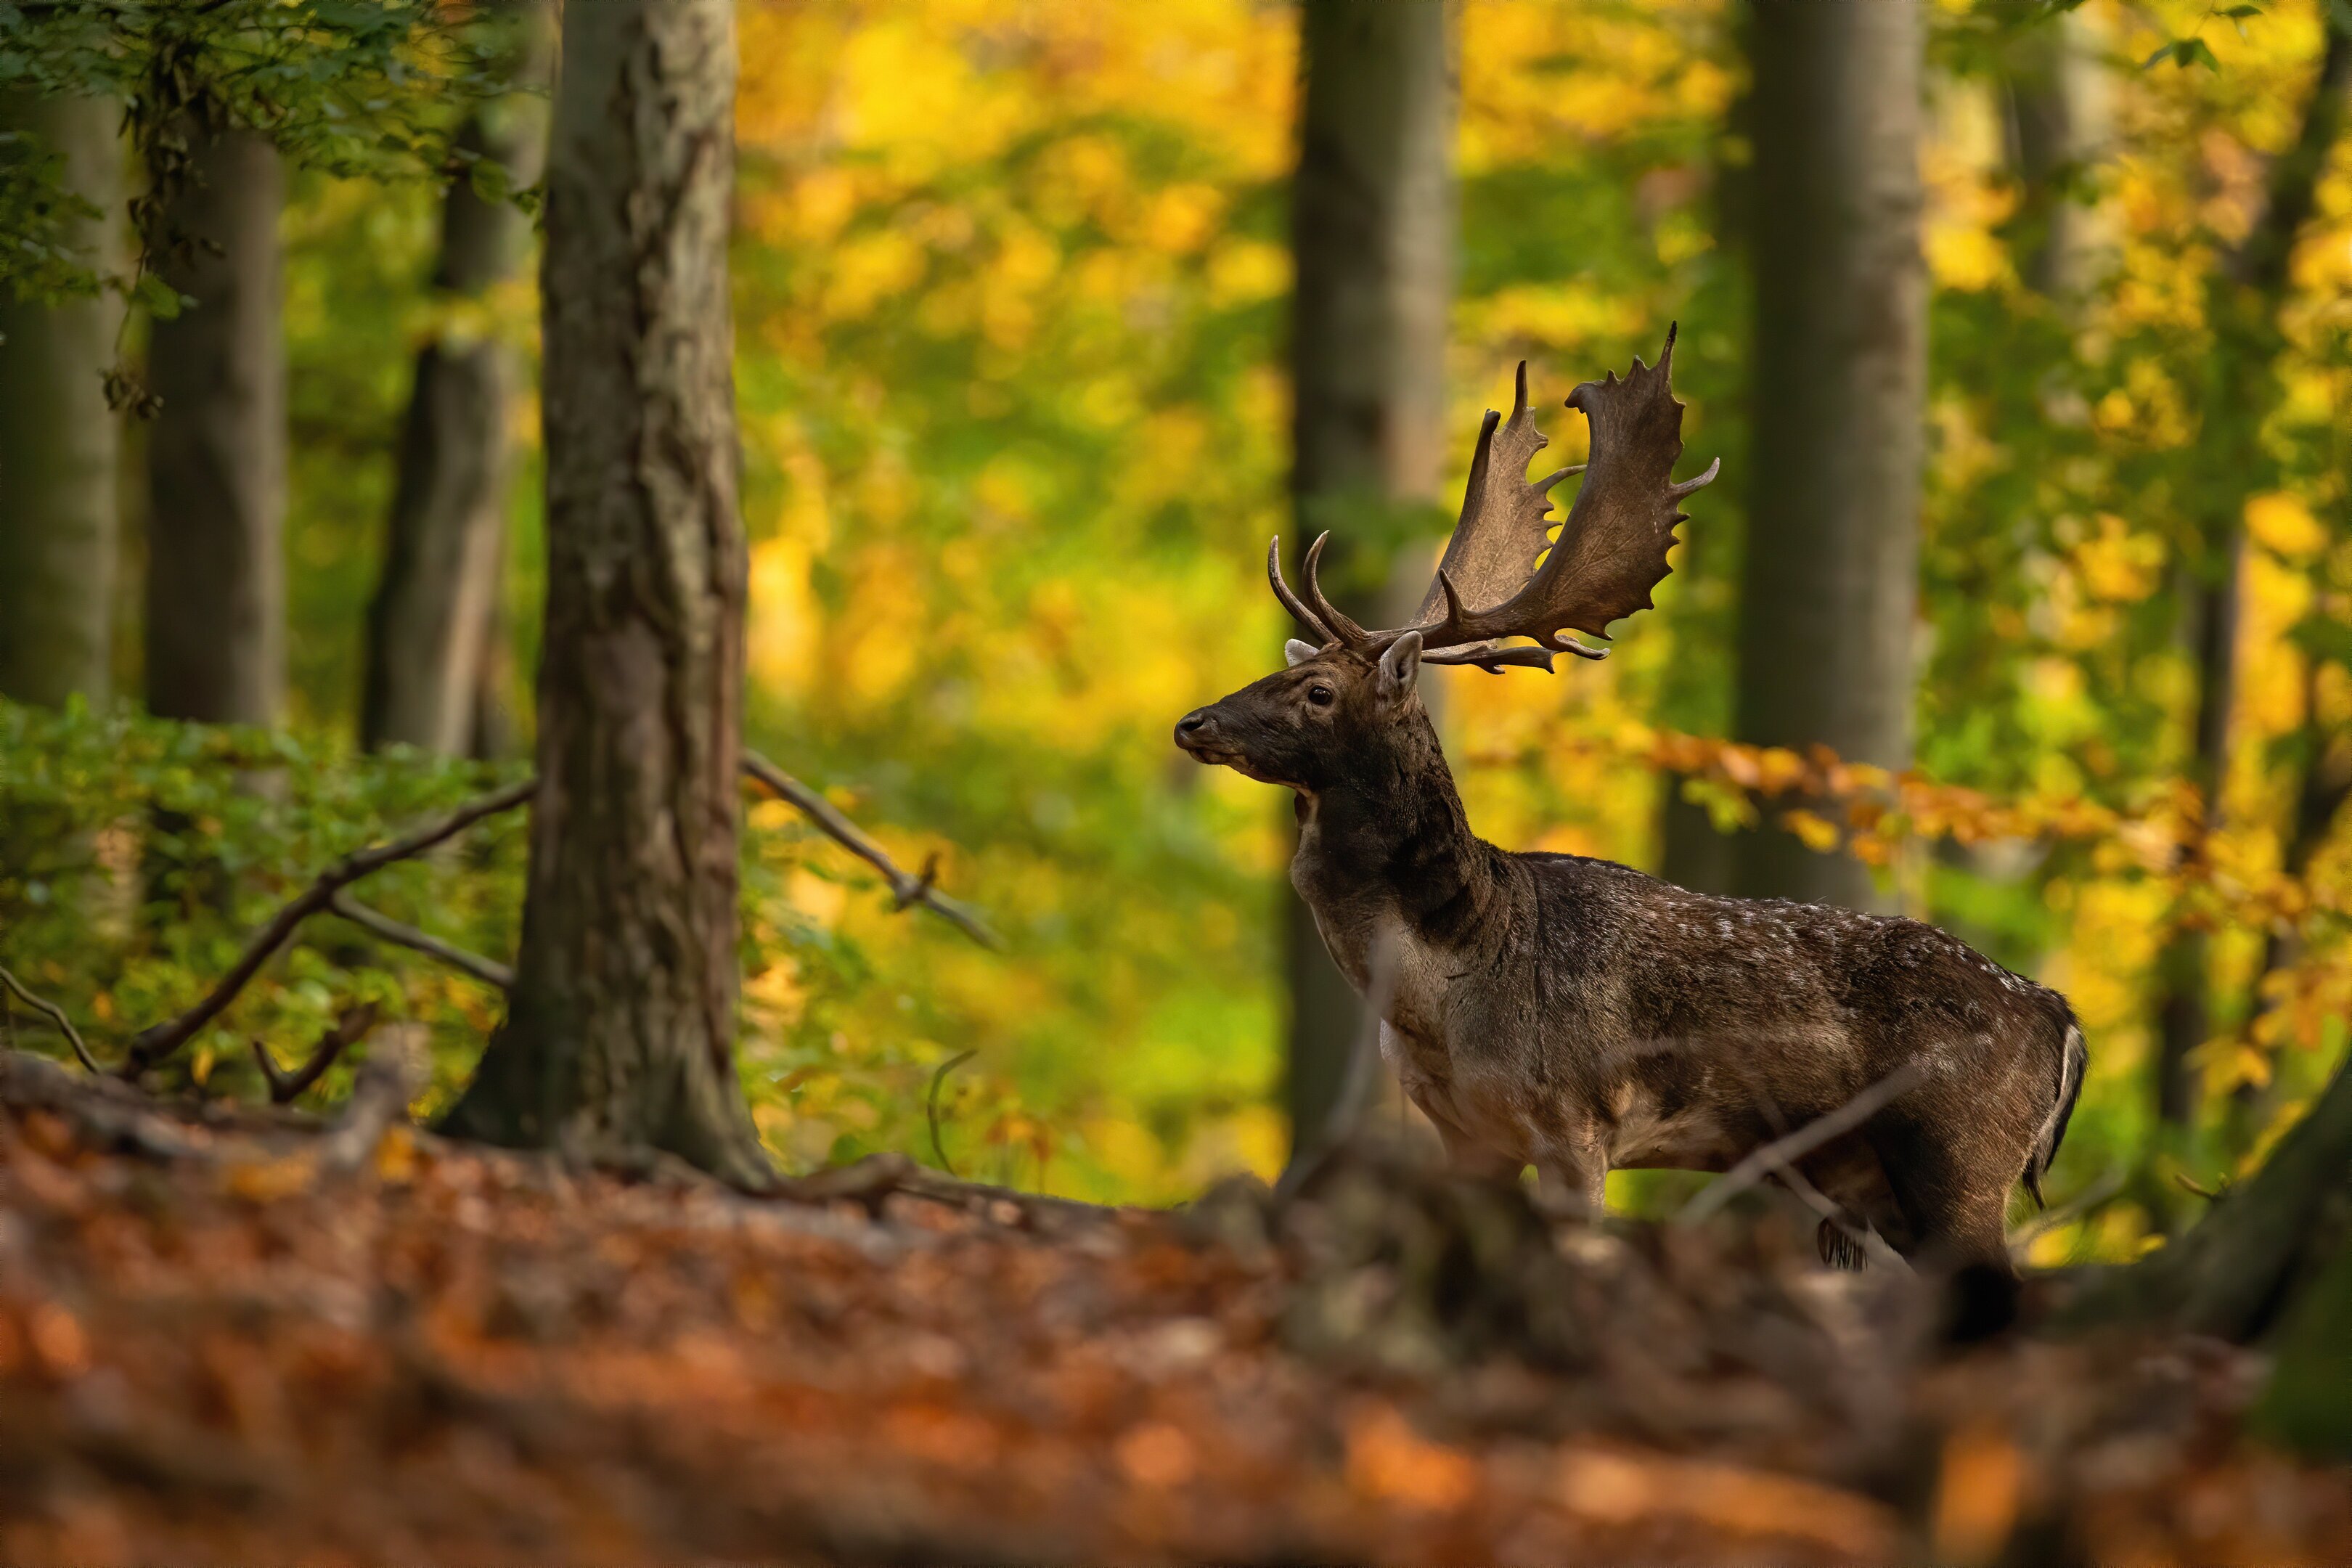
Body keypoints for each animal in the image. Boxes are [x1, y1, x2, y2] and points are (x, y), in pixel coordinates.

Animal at [1176, 329, 2098, 1278]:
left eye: (1319, 691)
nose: (1192, 722)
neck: (1442, 989)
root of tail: (2061, 1020)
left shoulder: (1575, 1118)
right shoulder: (1464, 1132)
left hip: (1960, 1156)